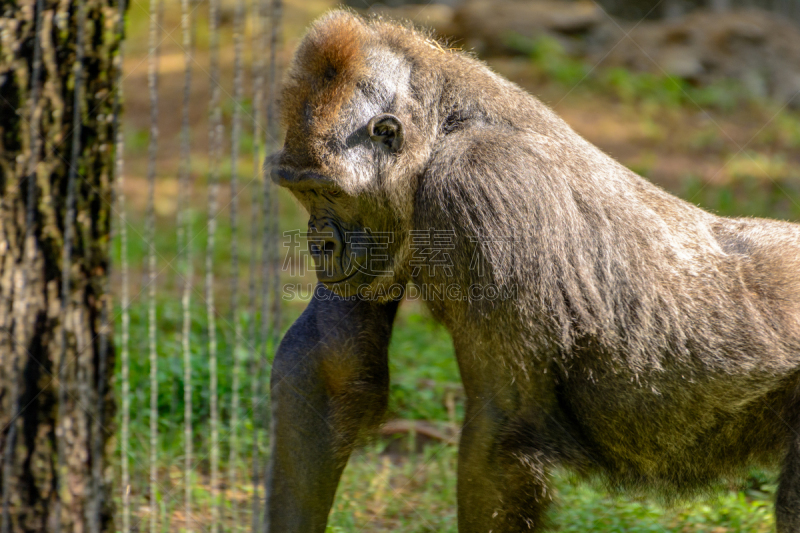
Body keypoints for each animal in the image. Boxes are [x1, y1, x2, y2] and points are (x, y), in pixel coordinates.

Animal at [266, 10, 800, 528]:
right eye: (301, 192)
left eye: (329, 192)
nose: (319, 245)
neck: (441, 127)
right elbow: (332, 372)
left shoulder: (483, 184)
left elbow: (503, 428)